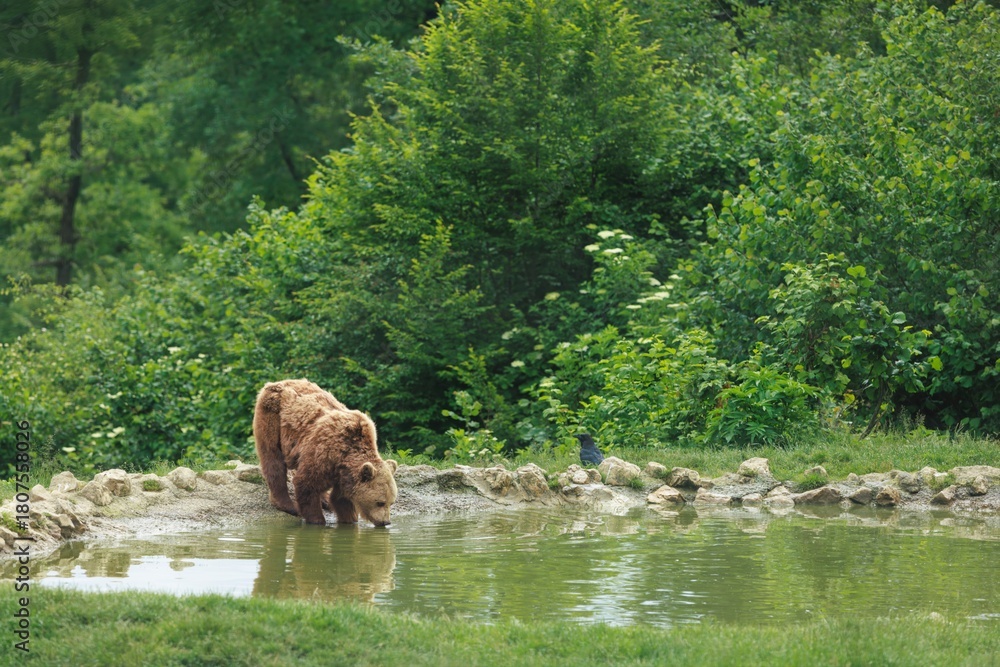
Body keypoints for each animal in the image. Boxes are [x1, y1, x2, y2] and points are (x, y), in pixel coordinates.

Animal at [252, 379, 398, 526]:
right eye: (380, 502)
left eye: (391, 502)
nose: (386, 522)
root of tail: (275, 383)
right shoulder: (324, 450)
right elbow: (306, 484)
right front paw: (317, 520)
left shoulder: (342, 471)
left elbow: (341, 499)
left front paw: (349, 519)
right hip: (272, 418)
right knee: (273, 459)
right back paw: (288, 505)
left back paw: (325, 500)